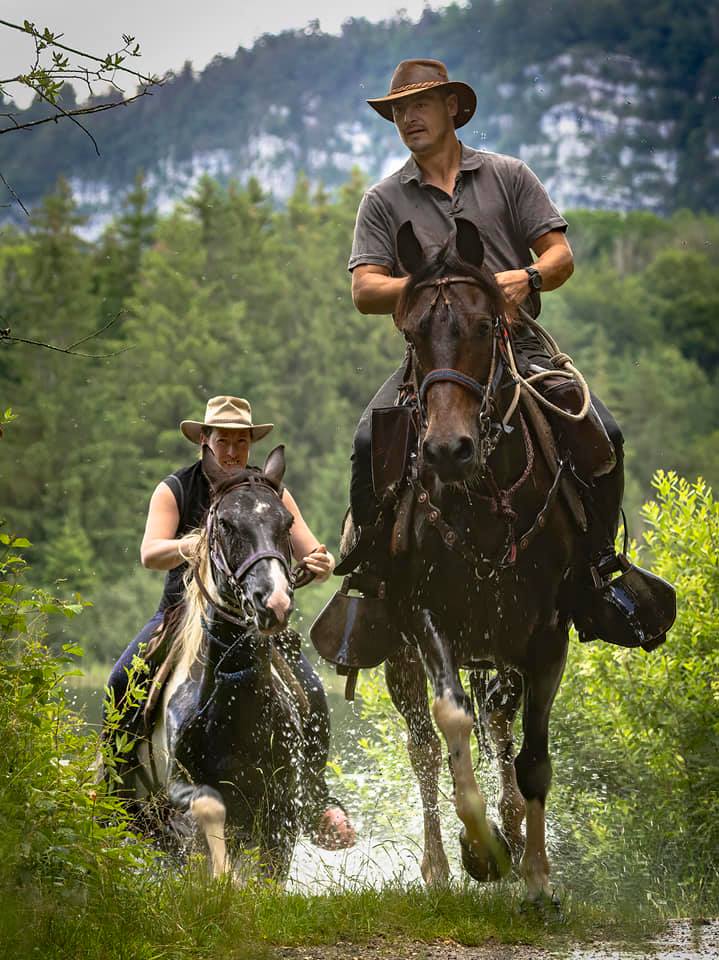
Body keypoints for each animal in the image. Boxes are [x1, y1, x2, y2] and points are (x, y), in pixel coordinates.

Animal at [382, 219, 580, 908]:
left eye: (482, 326)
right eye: (412, 333)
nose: (447, 450)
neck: (484, 503)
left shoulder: (547, 636)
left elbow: (533, 759)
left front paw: (537, 877)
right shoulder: (425, 619)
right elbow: (451, 723)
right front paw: (482, 852)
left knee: (499, 724)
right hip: (399, 659)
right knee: (423, 748)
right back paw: (440, 868)